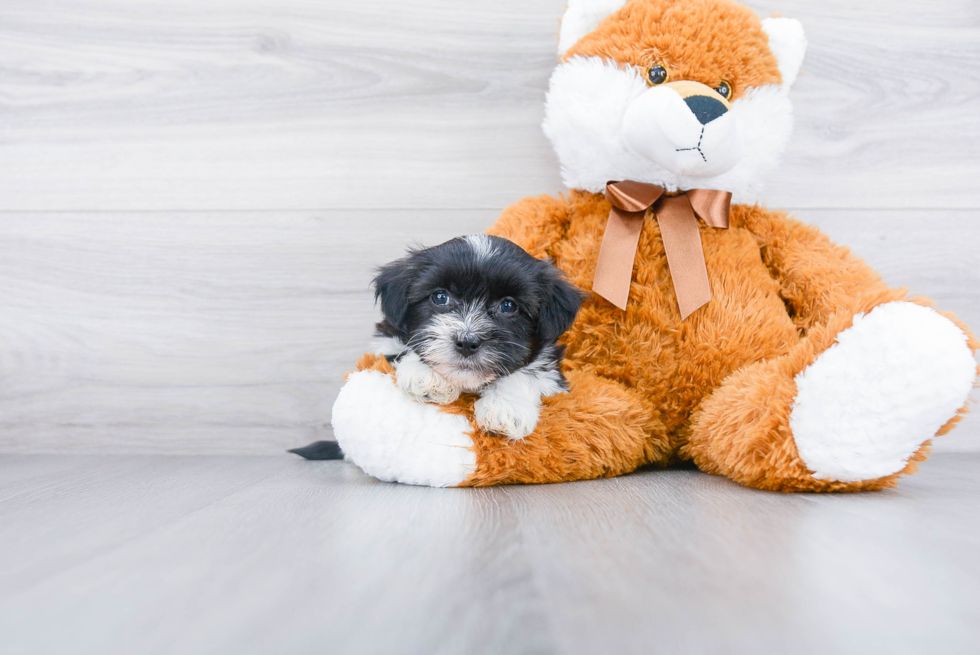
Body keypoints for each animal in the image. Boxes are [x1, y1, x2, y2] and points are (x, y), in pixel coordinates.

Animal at [372, 236, 584, 440]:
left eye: (508, 306)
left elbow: (527, 371)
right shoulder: (385, 343)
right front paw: (426, 375)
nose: (467, 342)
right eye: (440, 297)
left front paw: (506, 407)